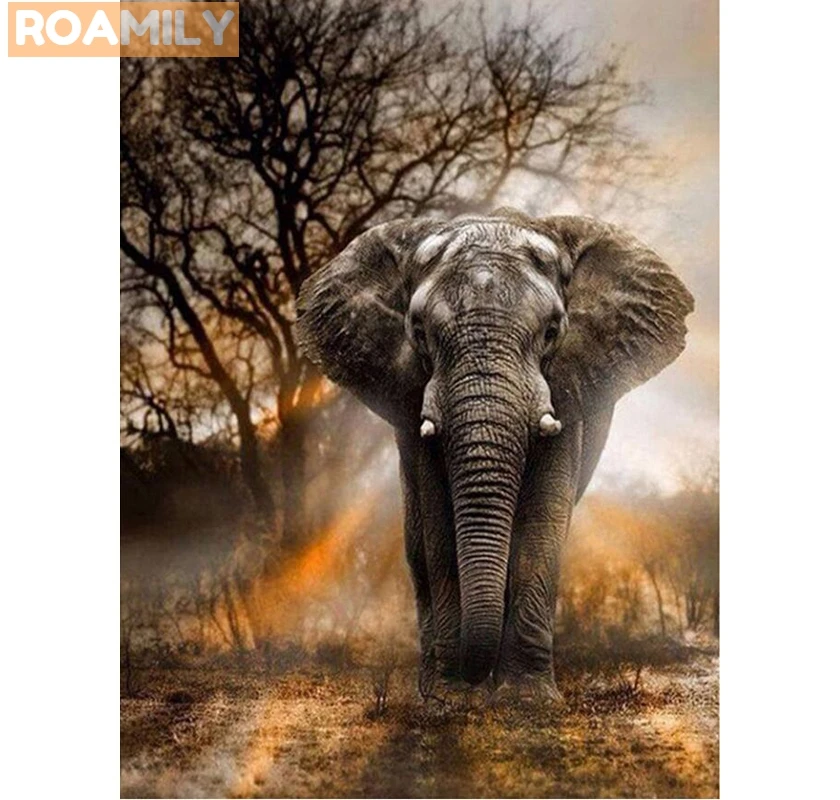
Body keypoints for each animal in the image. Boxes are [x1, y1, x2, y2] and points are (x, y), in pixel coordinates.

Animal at [297, 208, 693, 702]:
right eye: (419, 333)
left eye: (552, 332)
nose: (472, 678)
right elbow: (439, 524)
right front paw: (451, 700)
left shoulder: (567, 390)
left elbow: (543, 519)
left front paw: (528, 702)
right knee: (417, 545)